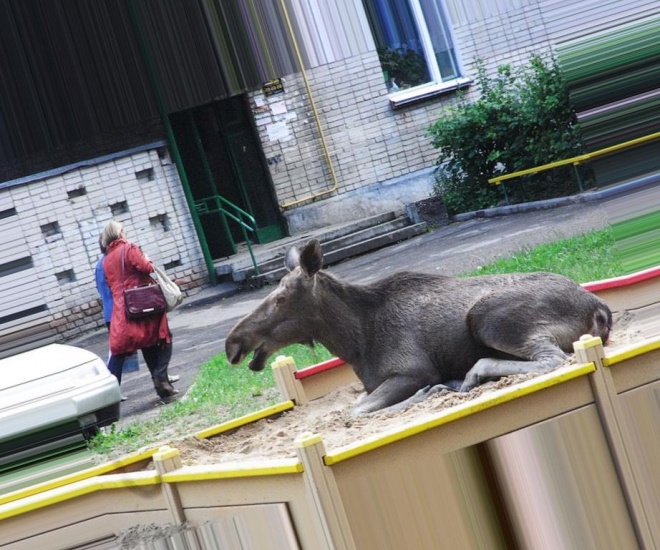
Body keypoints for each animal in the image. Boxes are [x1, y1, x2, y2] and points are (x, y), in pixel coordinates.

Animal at [227, 239, 612, 416]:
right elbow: (356, 405)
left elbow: (359, 411)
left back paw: (469, 376)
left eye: (281, 298)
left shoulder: (412, 371)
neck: (354, 342)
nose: (233, 344)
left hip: (488, 318)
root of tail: (600, 307)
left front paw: (429, 393)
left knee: (552, 358)